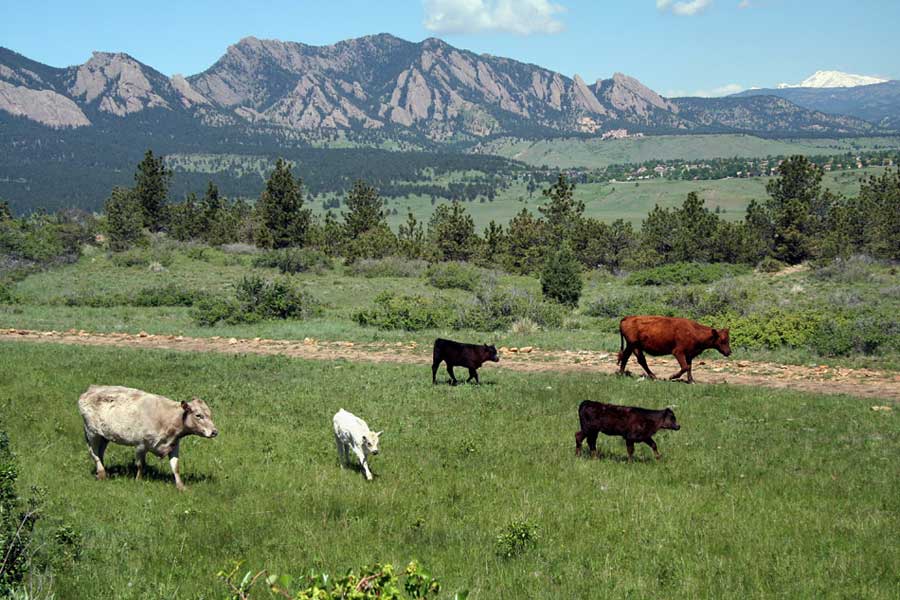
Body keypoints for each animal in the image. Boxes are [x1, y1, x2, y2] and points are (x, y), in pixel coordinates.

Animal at [78, 386, 218, 490]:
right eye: (198, 415)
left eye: (210, 414)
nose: (214, 432)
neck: (167, 417)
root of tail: (92, 389)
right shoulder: (141, 445)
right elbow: (140, 465)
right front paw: (138, 480)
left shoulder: (174, 444)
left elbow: (175, 466)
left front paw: (181, 486)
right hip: (92, 433)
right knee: (94, 452)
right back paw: (102, 473)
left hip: (104, 436)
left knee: (100, 452)